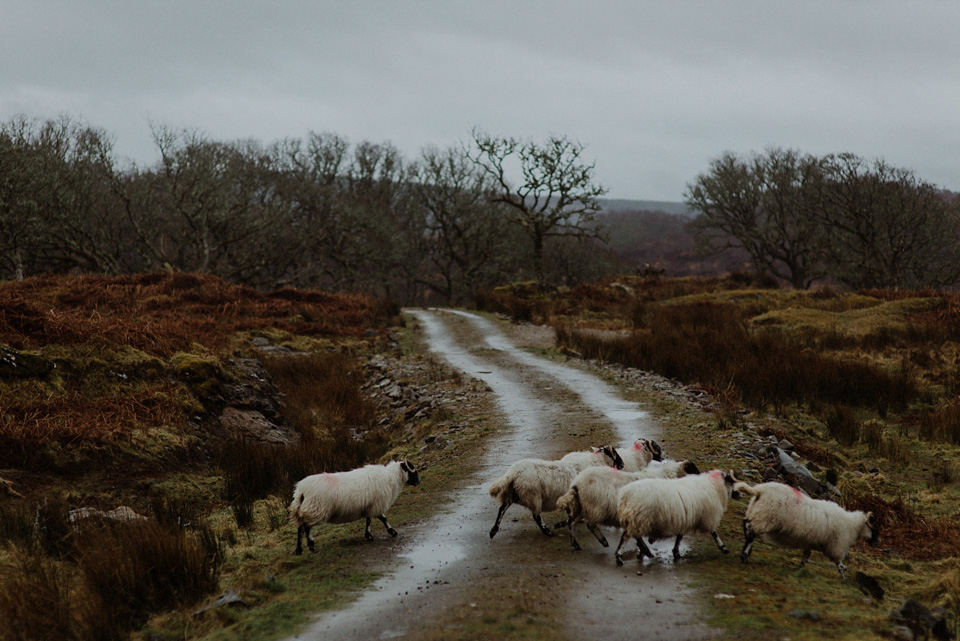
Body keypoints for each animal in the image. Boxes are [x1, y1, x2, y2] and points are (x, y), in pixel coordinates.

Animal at [286, 458, 418, 552]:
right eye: (412, 470)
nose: (418, 481)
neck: (392, 477)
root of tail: (301, 491)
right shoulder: (376, 504)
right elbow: (382, 518)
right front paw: (390, 532)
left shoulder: (369, 506)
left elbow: (369, 520)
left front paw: (369, 535)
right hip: (315, 509)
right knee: (306, 526)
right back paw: (311, 545)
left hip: (305, 509)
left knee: (300, 527)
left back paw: (299, 549)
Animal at [552, 458, 700, 548]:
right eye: (693, 469)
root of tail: (576, 483)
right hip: (595, 507)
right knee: (589, 524)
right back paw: (603, 541)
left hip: (581, 506)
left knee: (572, 523)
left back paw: (576, 544)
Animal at [612, 468, 740, 564]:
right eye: (732, 482)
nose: (740, 495)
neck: (715, 486)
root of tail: (625, 495)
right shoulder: (707, 517)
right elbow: (714, 532)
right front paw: (723, 548)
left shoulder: (685, 520)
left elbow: (679, 537)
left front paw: (676, 552)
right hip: (639, 519)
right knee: (627, 536)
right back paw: (621, 556)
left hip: (636, 520)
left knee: (633, 536)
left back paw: (643, 551)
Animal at [732, 480, 880, 580]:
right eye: (874, 529)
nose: (877, 543)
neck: (852, 525)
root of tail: (759, 491)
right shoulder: (836, 546)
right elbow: (838, 562)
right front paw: (843, 574)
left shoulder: (810, 541)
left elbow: (806, 555)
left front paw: (800, 568)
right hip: (764, 517)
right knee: (751, 533)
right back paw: (745, 555)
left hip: (755, 512)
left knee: (746, 525)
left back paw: (746, 553)